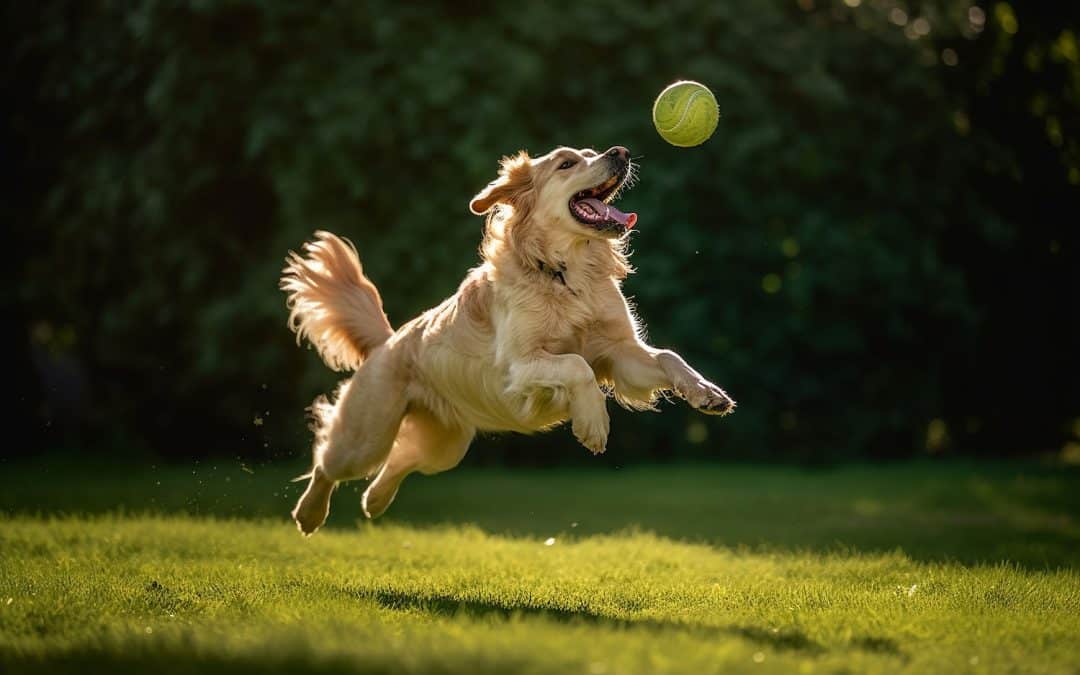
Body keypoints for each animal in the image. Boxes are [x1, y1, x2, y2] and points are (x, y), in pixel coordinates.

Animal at [280, 144, 734, 533]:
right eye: (567, 163)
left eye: (592, 152)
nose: (620, 152)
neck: (567, 274)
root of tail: (389, 340)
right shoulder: (520, 364)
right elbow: (576, 365)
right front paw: (593, 423)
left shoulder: (620, 355)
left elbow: (667, 357)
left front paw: (707, 393)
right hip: (366, 436)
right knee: (328, 462)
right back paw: (309, 513)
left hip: (445, 445)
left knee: (399, 461)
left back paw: (374, 502)